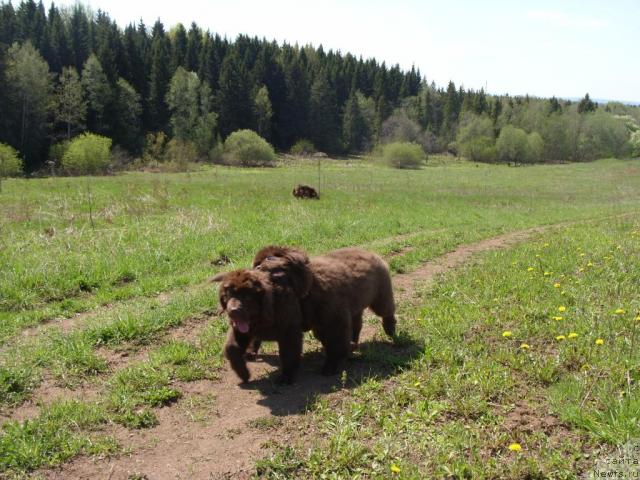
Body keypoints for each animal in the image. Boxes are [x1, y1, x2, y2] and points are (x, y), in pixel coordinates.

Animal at [254, 248, 396, 376]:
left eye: (270, 259)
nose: (258, 268)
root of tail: (371, 253)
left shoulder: (335, 320)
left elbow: (336, 345)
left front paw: (330, 366)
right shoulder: (317, 324)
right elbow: (326, 340)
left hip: (381, 296)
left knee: (387, 312)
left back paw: (391, 331)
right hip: (356, 305)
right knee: (357, 325)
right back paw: (354, 343)